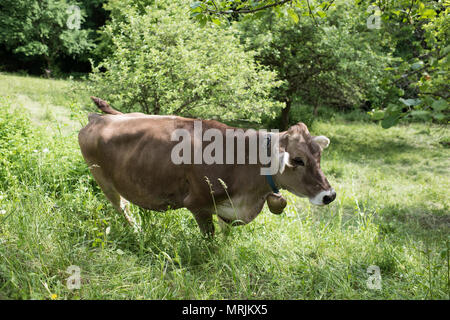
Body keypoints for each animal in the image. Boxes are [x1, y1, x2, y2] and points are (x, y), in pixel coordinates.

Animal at [79, 97, 336, 235]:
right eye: (298, 160)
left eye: (319, 156)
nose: (330, 195)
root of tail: (100, 118)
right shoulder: (197, 204)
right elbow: (209, 238)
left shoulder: (229, 209)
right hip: (103, 181)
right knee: (122, 208)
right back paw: (136, 231)